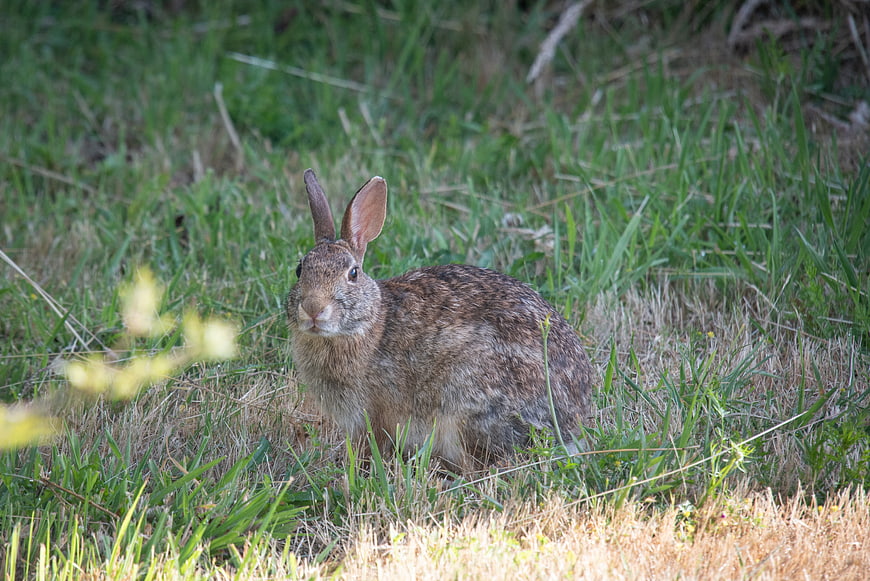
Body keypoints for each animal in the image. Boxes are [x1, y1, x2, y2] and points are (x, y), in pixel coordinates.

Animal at [286, 169, 593, 471]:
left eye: (352, 274)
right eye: (300, 269)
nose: (313, 308)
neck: (369, 324)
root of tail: (570, 427)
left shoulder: (374, 414)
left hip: (467, 403)